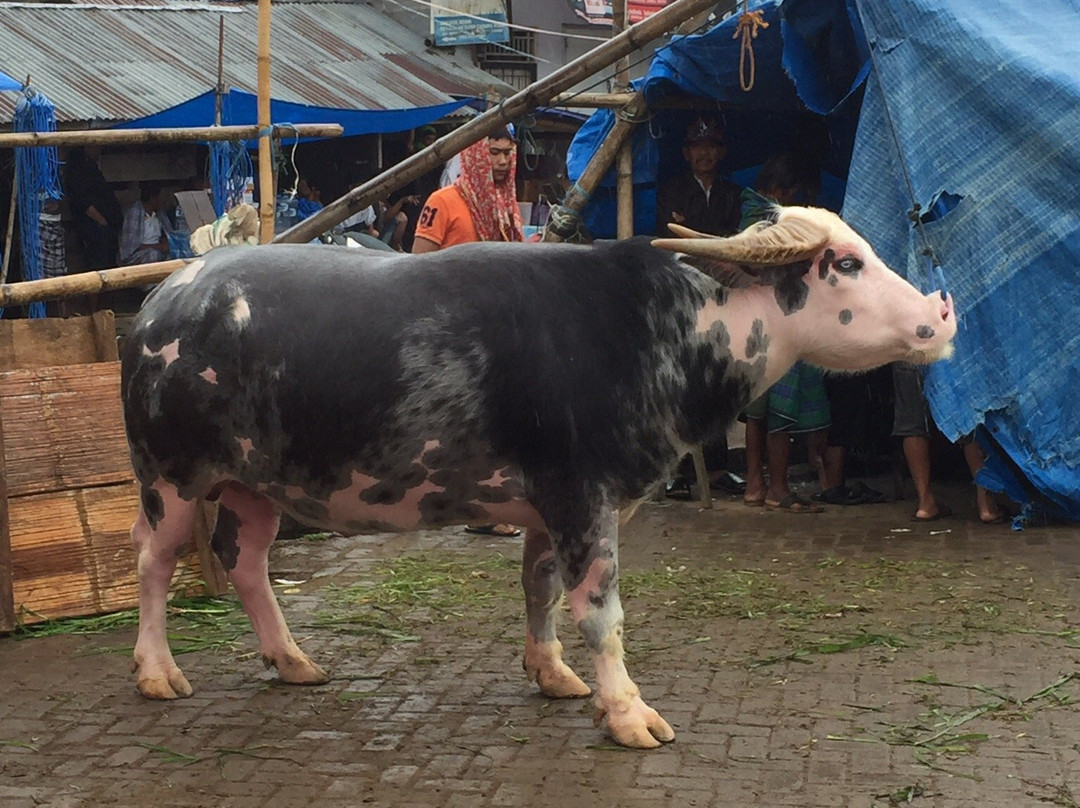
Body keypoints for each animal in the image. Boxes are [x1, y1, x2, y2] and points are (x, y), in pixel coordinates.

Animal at [122, 205, 959, 747]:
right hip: (169, 478)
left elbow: (541, 589)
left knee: (247, 562)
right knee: (154, 563)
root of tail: (163, 302)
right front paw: (629, 714)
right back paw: (158, 672)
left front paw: (552, 675)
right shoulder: (583, 496)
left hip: (255, 485)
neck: (655, 330)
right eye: (844, 263)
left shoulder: (543, 508)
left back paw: (294, 660)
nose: (941, 316)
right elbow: (600, 612)